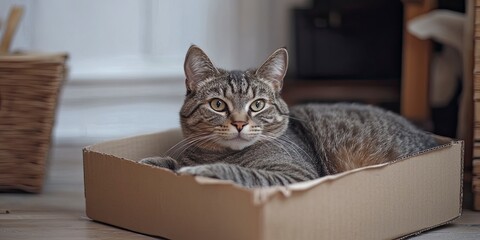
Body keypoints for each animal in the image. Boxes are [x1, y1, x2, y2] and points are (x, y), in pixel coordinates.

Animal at [140, 45, 438, 188]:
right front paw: (154, 162)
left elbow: (240, 172)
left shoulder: (298, 176)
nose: (239, 123)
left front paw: (200, 170)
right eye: (217, 104)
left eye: (258, 105)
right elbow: (170, 162)